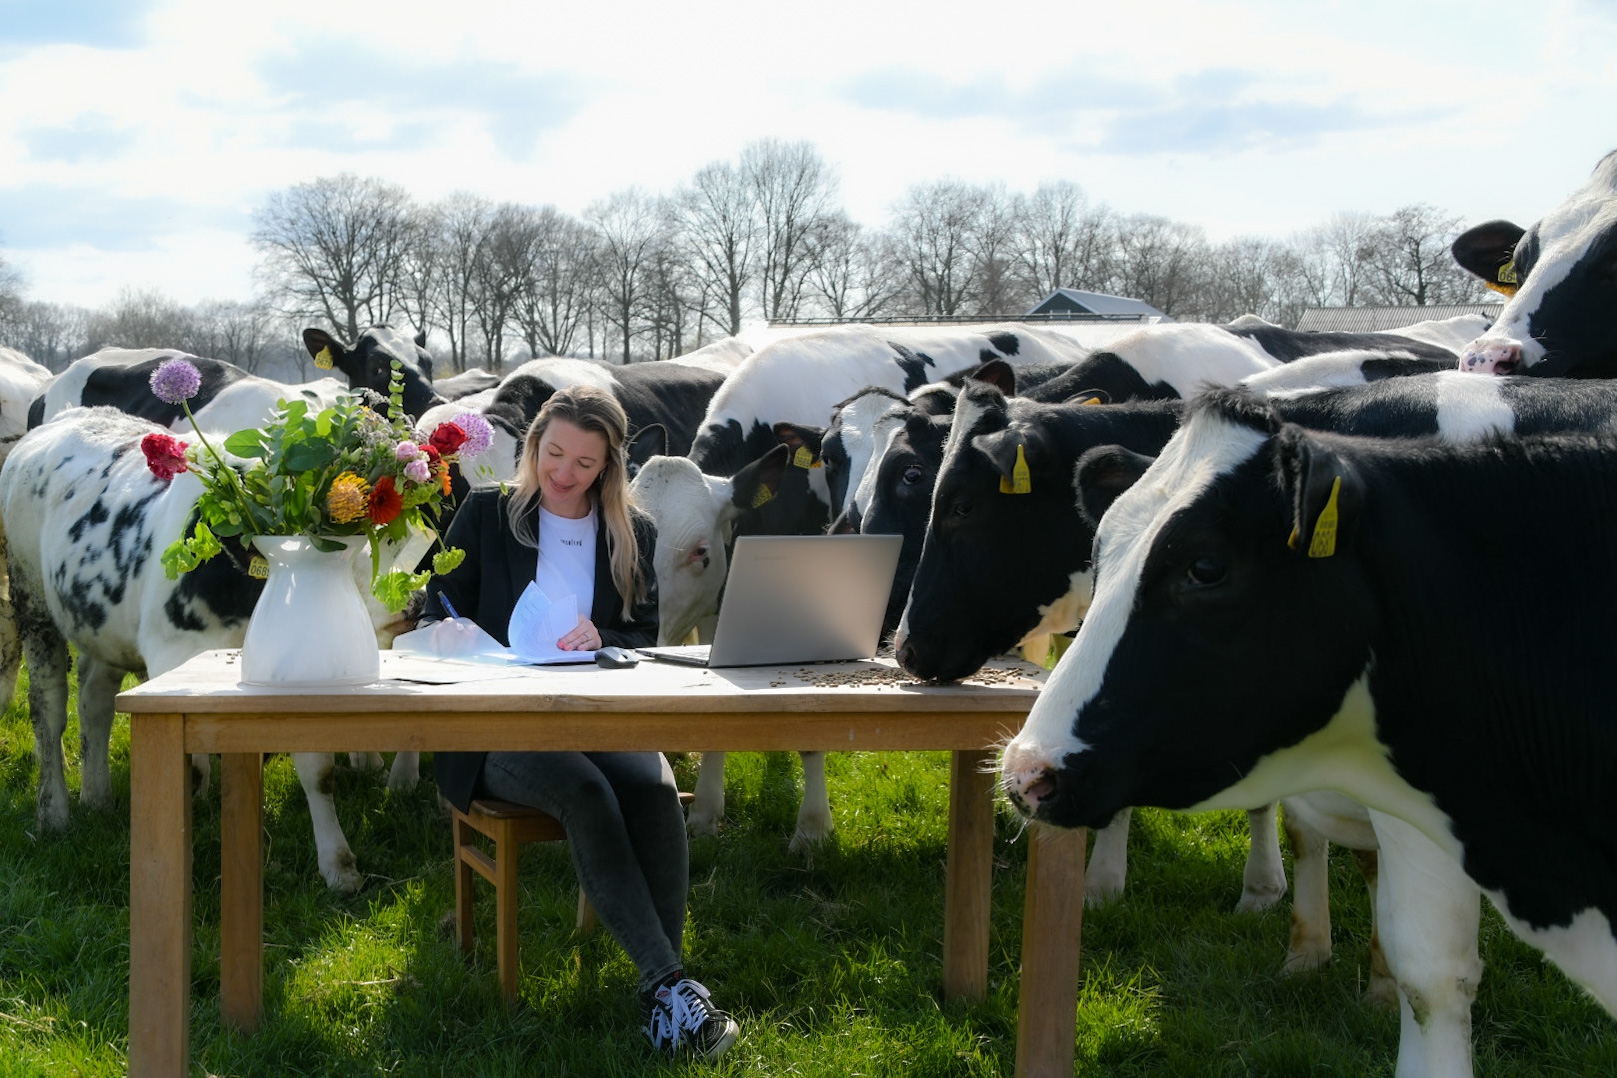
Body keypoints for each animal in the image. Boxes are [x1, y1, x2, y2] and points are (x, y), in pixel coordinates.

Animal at [0, 407, 426, 892]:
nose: (416, 601)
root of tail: (65, 418)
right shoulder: (170, 662)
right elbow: (192, 771)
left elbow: (316, 769)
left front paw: (337, 865)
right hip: (32, 601)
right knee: (49, 708)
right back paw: (54, 811)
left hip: (102, 626)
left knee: (94, 698)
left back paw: (97, 796)